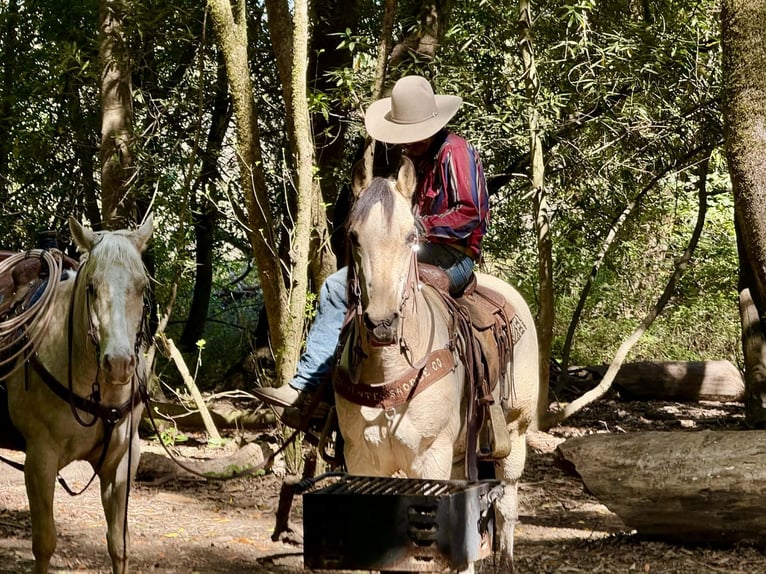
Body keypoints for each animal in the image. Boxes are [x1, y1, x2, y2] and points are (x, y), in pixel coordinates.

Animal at [3, 215, 152, 574]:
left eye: (142, 286)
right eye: (92, 287)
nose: (118, 363)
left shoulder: (123, 461)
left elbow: (119, 544)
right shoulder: (39, 460)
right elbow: (44, 543)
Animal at [333, 158, 539, 573]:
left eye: (411, 236)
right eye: (354, 236)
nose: (382, 323)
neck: (388, 372)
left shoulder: (430, 459)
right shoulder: (361, 458)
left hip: (515, 431)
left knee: (507, 506)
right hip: (462, 453)